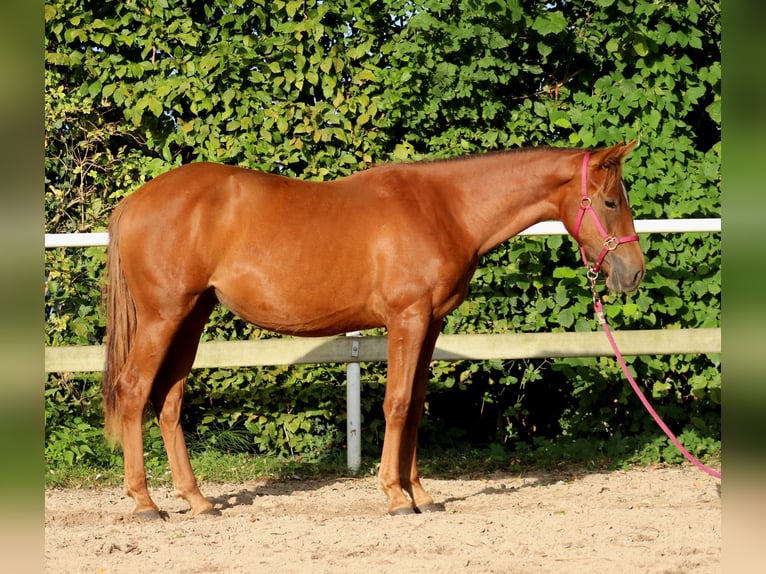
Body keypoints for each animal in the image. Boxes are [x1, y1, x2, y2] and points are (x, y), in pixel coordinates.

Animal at [100, 143, 640, 516]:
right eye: (611, 202)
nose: (633, 273)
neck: (443, 208)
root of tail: (136, 201)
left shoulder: (431, 323)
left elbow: (416, 405)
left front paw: (420, 493)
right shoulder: (407, 318)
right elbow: (396, 403)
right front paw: (395, 496)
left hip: (191, 317)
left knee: (168, 401)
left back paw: (198, 500)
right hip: (163, 317)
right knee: (134, 390)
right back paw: (145, 504)